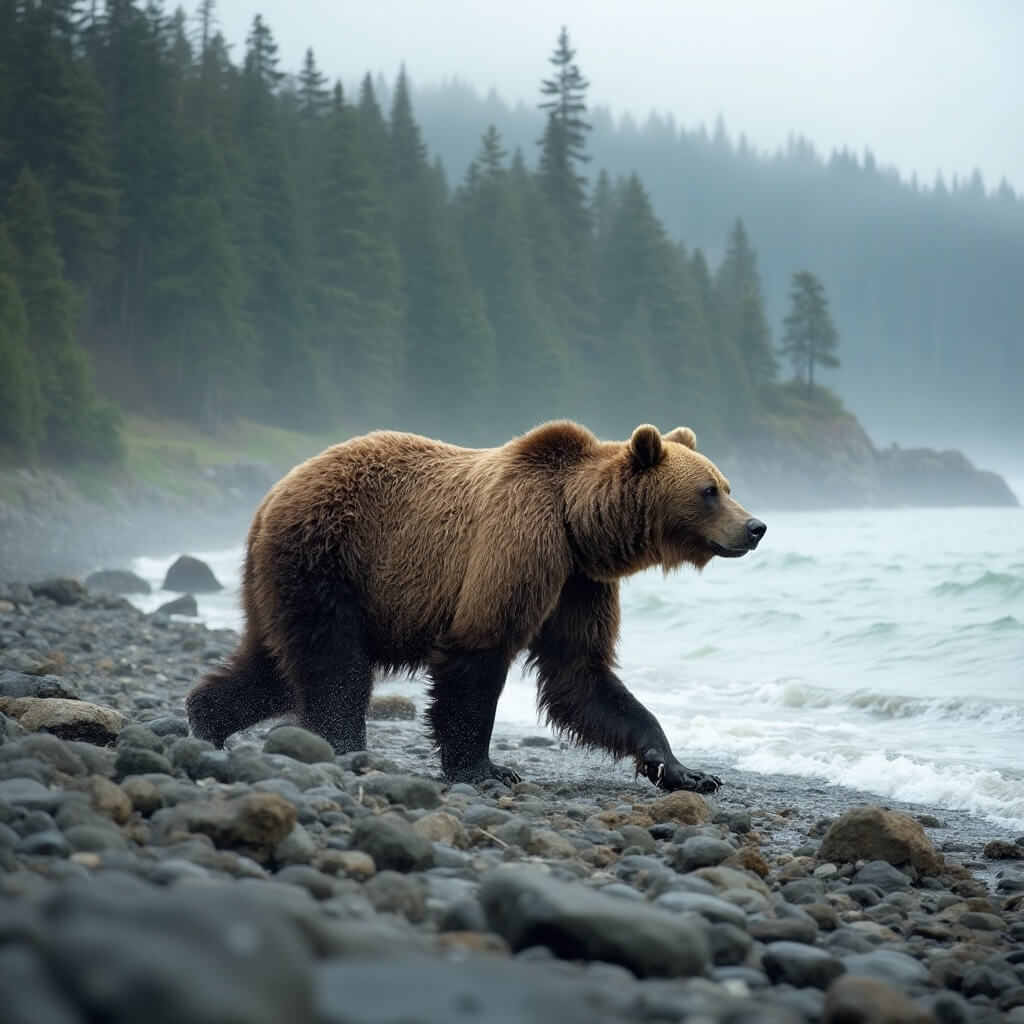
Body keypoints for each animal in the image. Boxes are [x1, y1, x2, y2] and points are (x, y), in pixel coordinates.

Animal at [186, 422, 765, 792]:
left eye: (726, 485)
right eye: (709, 490)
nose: (756, 526)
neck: (577, 525)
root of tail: (269, 498)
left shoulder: (579, 583)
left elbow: (581, 674)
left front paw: (682, 768)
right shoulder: (519, 542)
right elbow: (479, 652)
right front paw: (483, 768)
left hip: (283, 580)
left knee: (273, 664)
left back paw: (205, 717)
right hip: (329, 557)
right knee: (334, 666)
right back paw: (345, 744)